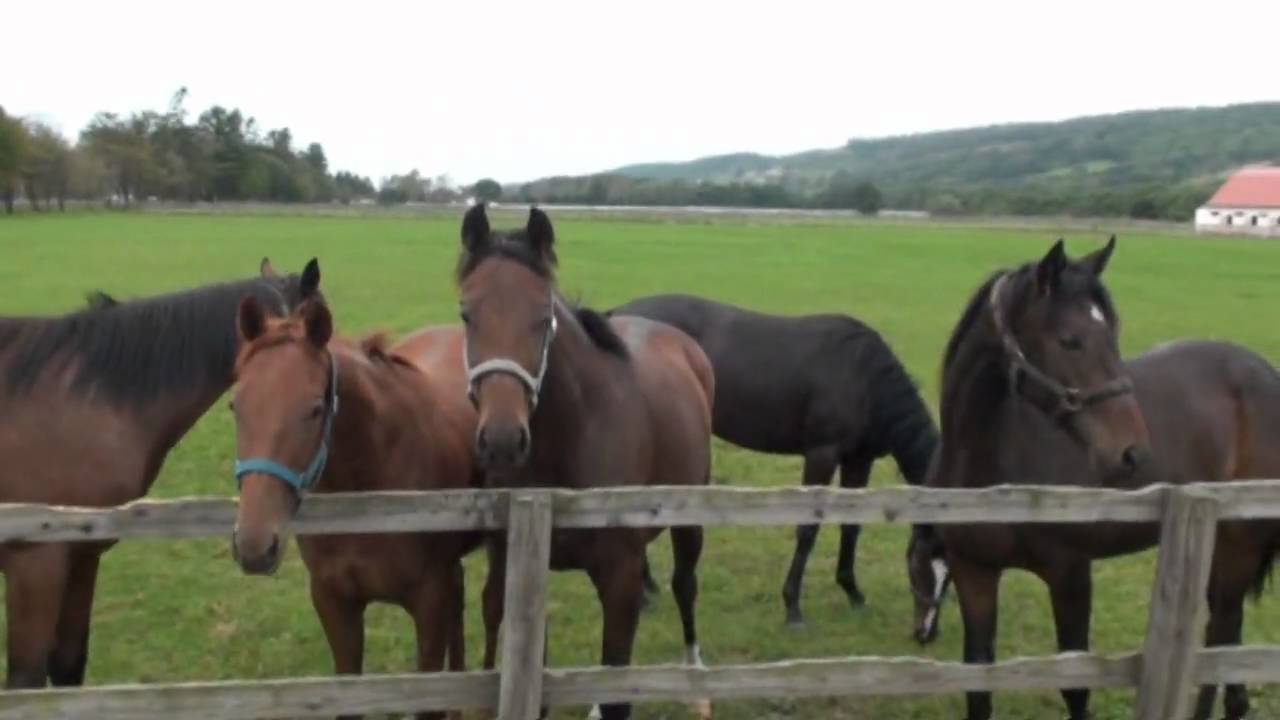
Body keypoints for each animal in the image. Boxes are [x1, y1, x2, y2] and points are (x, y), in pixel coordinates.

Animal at [455, 204, 715, 720]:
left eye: (543, 316)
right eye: (466, 314)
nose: (502, 441)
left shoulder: (620, 577)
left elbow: (618, 686)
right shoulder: (516, 563)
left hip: (691, 513)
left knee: (685, 584)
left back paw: (695, 679)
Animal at [609, 293, 938, 626]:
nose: (929, 626)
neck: (862, 376)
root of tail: (617, 315)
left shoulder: (858, 460)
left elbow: (851, 526)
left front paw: (853, 593)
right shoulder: (821, 453)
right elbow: (808, 529)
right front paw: (793, 607)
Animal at [906, 236, 1280, 720]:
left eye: (1113, 334)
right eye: (1070, 340)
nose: (1133, 453)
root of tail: (1265, 373)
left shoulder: (1070, 575)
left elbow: (1076, 687)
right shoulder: (976, 573)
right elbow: (978, 682)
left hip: (1241, 543)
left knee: (1222, 632)